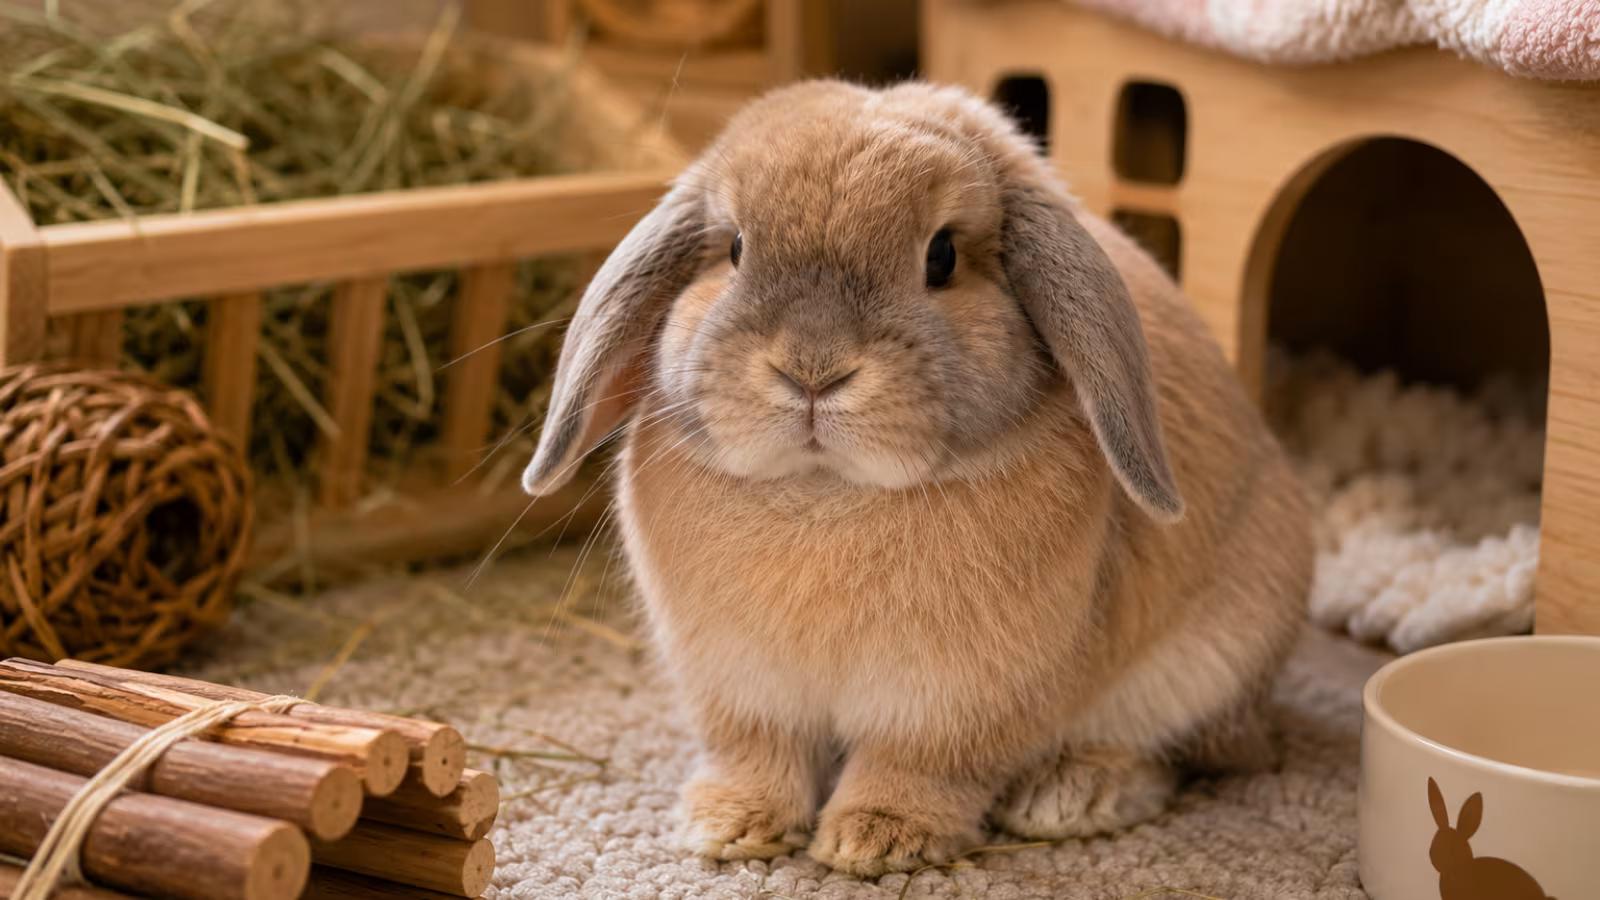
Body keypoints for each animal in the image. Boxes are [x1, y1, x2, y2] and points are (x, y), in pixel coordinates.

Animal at [521, 79, 1312, 876]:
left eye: (942, 256)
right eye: (736, 248)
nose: (812, 369)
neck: (827, 491)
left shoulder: (950, 707)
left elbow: (916, 767)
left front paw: (878, 839)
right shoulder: (742, 692)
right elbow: (757, 757)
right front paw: (728, 826)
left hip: (1203, 667)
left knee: (1170, 754)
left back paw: (1071, 798)